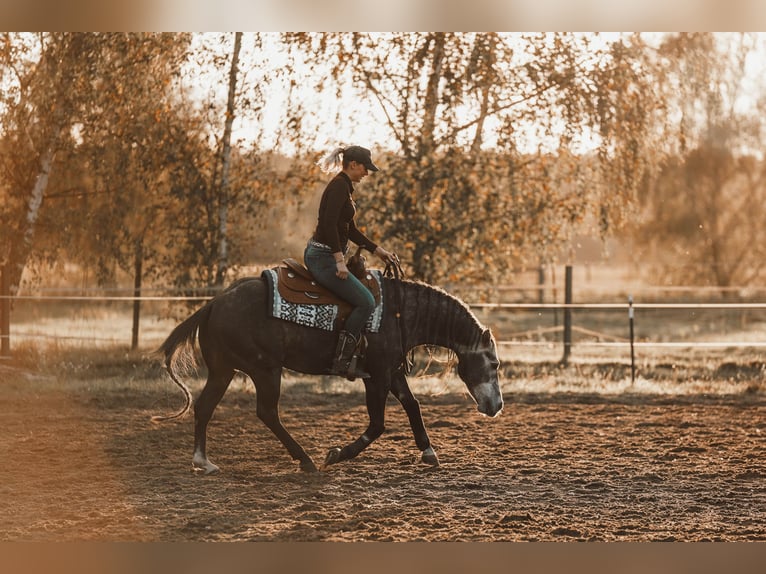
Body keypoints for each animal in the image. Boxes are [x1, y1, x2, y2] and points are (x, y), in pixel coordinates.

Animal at [154, 269, 503, 474]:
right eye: (495, 364)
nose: (496, 406)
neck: (399, 312)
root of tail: (214, 303)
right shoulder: (376, 375)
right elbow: (377, 424)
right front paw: (337, 453)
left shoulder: (391, 371)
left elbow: (412, 405)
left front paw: (429, 451)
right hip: (265, 369)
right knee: (267, 412)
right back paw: (306, 460)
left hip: (224, 369)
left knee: (205, 406)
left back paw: (203, 461)